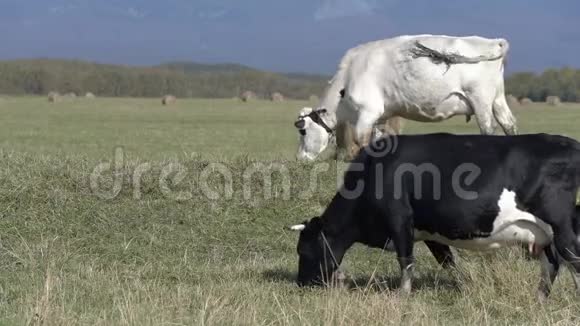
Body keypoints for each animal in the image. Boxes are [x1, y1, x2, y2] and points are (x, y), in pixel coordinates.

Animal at [288, 133, 580, 300]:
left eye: (303, 249)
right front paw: (464, 287)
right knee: (552, 265)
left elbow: (406, 261)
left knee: (572, 259)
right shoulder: (430, 232)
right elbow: (448, 263)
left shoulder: (399, 221)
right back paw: (539, 299)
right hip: (544, 235)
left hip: (562, 228)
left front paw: (403, 296)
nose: (301, 284)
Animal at [296, 34, 516, 162]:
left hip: (480, 99)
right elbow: (378, 141)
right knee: (509, 124)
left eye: (303, 131)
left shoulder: (368, 112)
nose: (300, 158)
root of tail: (493, 41)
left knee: (488, 129)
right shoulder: (381, 117)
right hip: (497, 99)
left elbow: (361, 140)